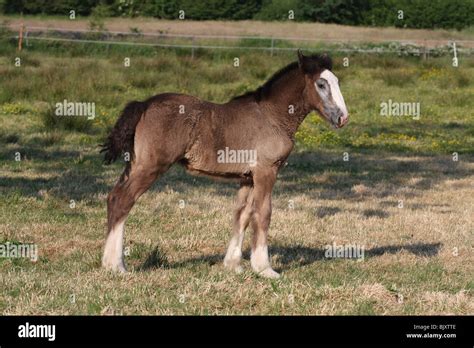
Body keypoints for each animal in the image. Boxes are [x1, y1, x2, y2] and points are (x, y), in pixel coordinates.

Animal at [101, 50, 348, 278]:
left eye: (336, 82)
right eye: (321, 84)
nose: (342, 118)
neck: (272, 116)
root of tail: (144, 104)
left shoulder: (248, 178)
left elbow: (242, 215)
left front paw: (233, 265)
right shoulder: (266, 171)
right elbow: (263, 213)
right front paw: (265, 268)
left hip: (135, 163)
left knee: (114, 197)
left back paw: (108, 262)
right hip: (150, 166)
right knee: (124, 200)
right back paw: (117, 266)